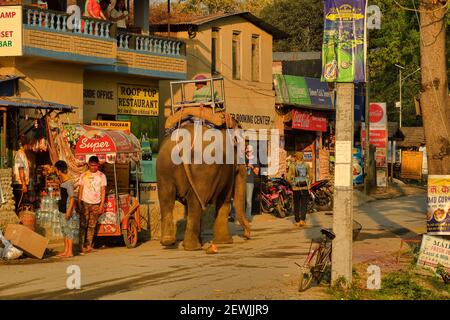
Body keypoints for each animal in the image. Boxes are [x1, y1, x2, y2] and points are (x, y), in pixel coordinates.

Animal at [156, 122, 251, 250]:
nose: (247, 235)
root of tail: (183, 143)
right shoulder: (228, 171)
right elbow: (224, 201)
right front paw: (226, 242)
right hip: (202, 170)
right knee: (195, 203)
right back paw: (194, 247)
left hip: (164, 167)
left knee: (167, 201)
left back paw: (168, 242)